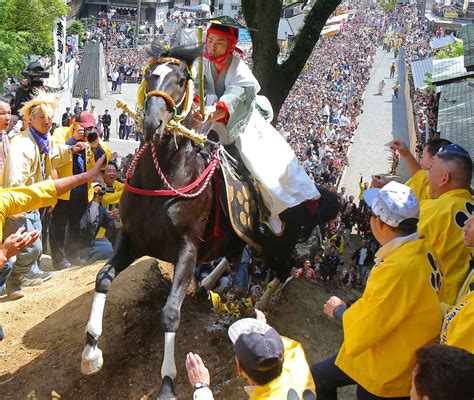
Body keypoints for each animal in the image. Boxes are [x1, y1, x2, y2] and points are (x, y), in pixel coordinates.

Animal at [81, 42, 340, 398]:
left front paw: (167, 381)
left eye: (180, 80)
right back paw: (209, 287)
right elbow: (103, 278)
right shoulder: (132, 238)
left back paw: (263, 305)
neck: (163, 181)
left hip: (281, 240)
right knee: (234, 257)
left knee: (283, 268)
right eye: (150, 75)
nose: (152, 123)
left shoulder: (187, 249)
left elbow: (170, 313)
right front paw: (91, 351)